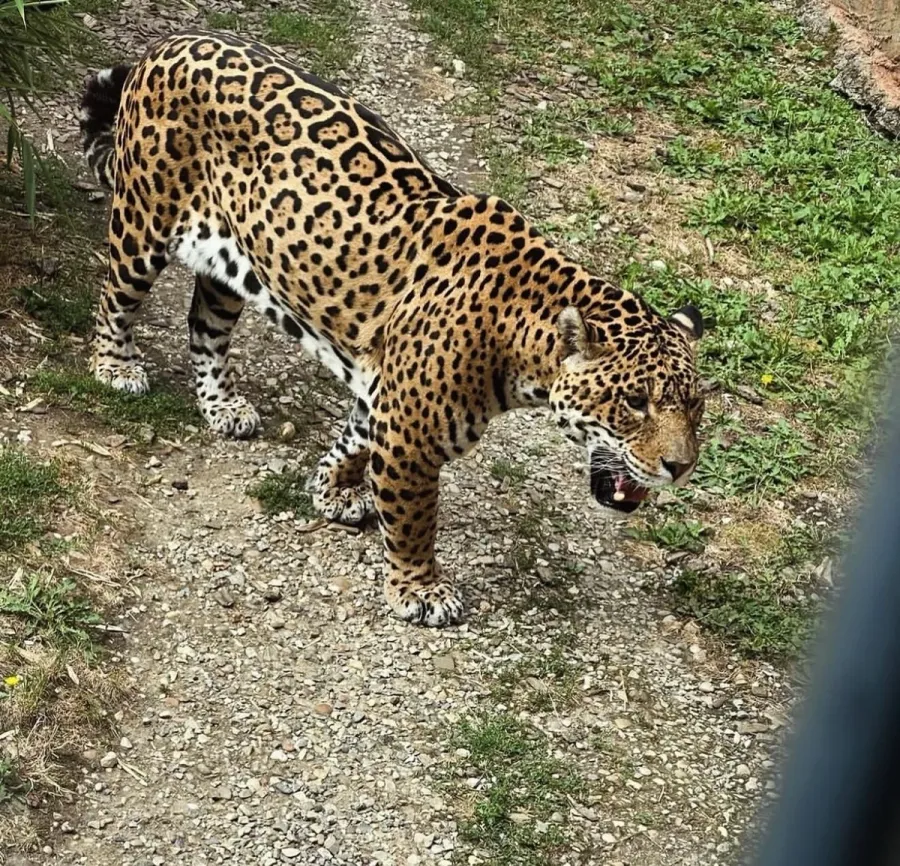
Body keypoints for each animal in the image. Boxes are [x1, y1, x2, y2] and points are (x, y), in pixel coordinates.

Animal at [78, 30, 706, 627]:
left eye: (695, 407)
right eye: (635, 403)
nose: (681, 468)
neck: (521, 333)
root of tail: (168, 44)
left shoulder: (385, 396)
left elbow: (353, 442)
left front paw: (332, 490)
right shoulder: (411, 434)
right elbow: (414, 518)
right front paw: (420, 590)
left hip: (230, 262)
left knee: (204, 328)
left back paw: (223, 407)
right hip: (143, 222)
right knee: (114, 298)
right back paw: (115, 367)